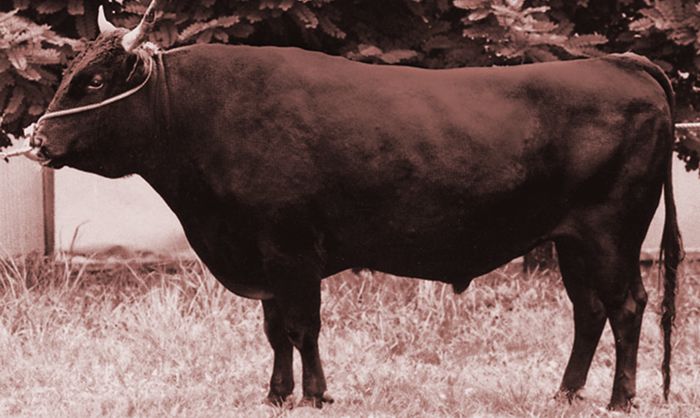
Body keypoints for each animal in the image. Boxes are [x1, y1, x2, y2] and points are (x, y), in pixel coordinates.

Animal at [28, 2, 682, 411]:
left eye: (94, 81)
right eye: (70, 73)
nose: (38, 138)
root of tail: (620, 63)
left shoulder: (289, 248)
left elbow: (301, 327)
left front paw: (316, 394)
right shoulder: (264, 258)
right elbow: (274, 330)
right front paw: (276, 395)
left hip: (610, 235)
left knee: (626, 308)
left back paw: (621, 399)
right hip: (572, 241)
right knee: (589, 312)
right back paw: (566, 393)